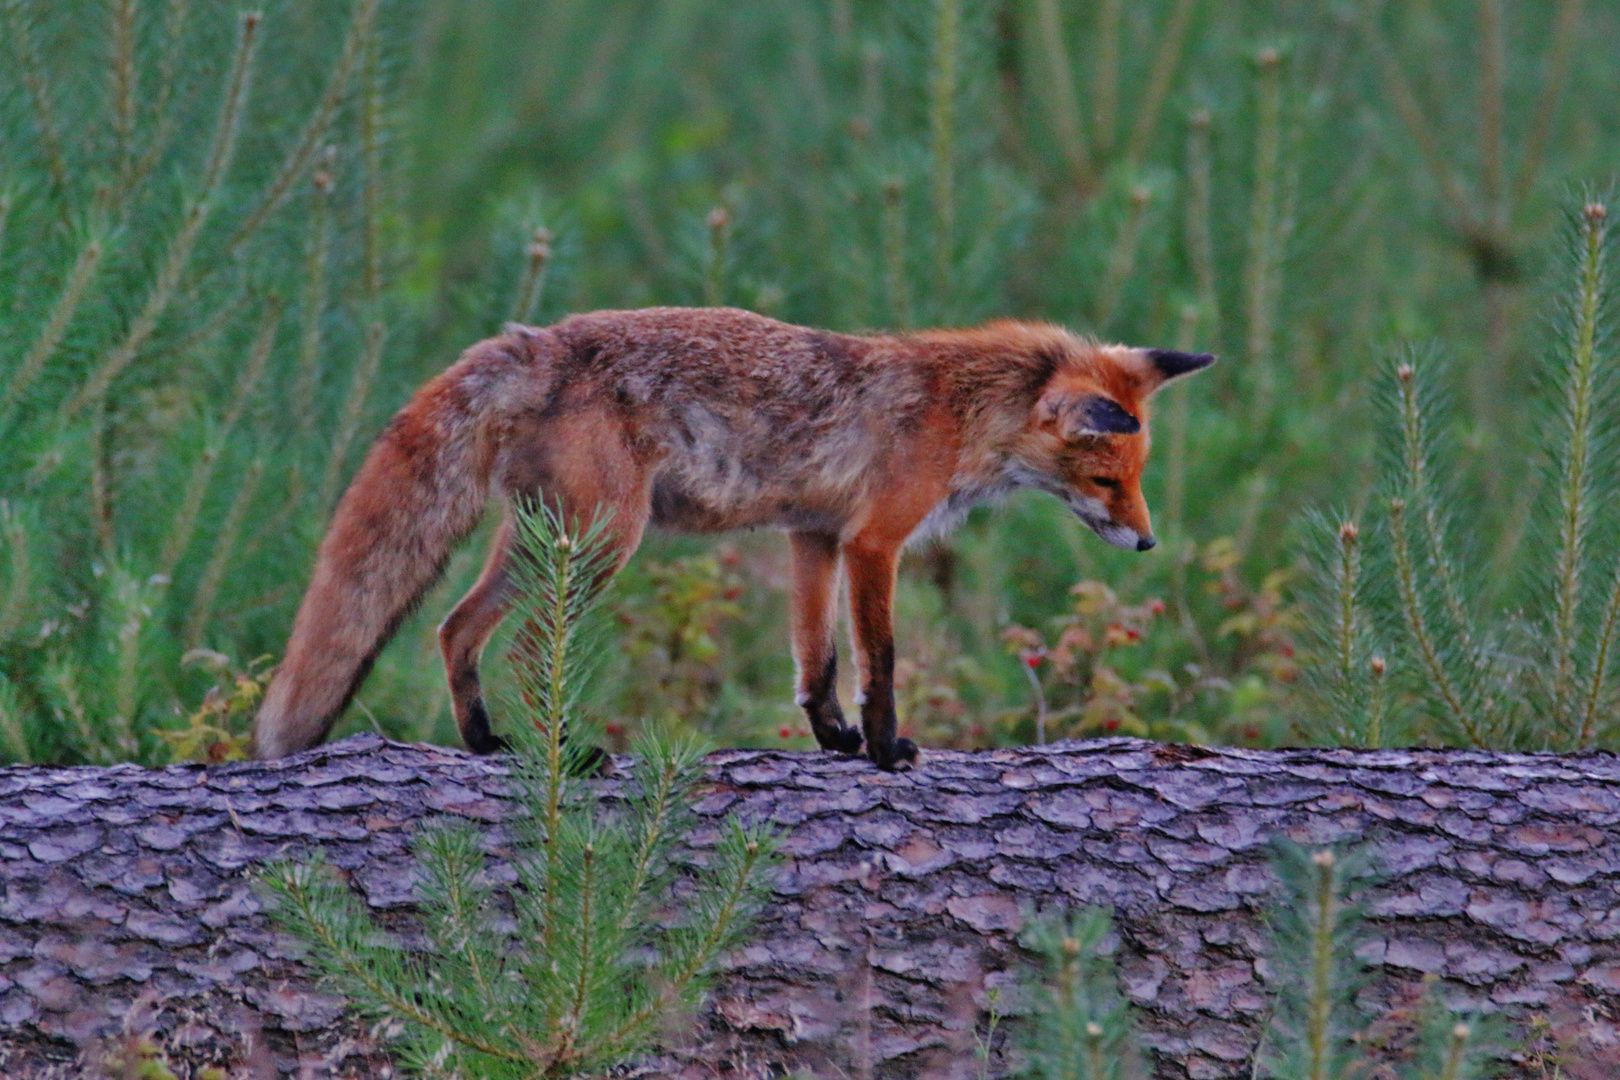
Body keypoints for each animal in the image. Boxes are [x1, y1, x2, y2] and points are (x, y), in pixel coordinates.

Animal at [252, 306, 1211, 767]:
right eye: (1108, 482)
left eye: (1137, 478)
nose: (1147, 545)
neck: (961, 407)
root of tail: (535, 340)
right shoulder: (873, 543)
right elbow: (882, 661)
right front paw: (885, 752)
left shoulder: (813, 537)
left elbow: (817, 664)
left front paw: (835, 744)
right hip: (601, 541)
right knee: (527, 646)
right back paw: (557, 753)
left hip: (543, 540)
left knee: (455, 627)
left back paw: (487, 744)